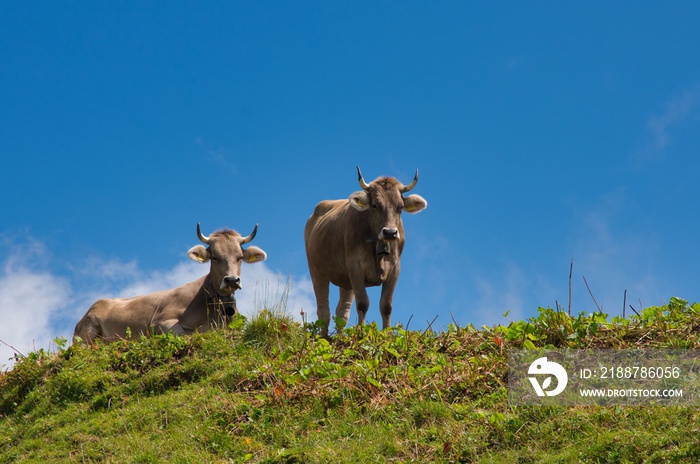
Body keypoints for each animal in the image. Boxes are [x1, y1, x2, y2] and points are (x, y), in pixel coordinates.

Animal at [72, 221, 266, 344]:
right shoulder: (160, 322)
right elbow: (185, 334)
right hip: (88, 329)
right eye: (215, 257)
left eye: (239, 257)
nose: (232, 280)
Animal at [304, 167, 426, 334]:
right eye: (374, 205)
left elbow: (386, 306)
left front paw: (387, 334)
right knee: (323, 309)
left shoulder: (395, 269)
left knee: (342, 311)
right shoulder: (355, 267)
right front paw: (361, 333)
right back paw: (323, 337)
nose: (390, 232)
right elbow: (363, 304)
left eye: (400, 207)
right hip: (316, 270)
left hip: (345, 281)